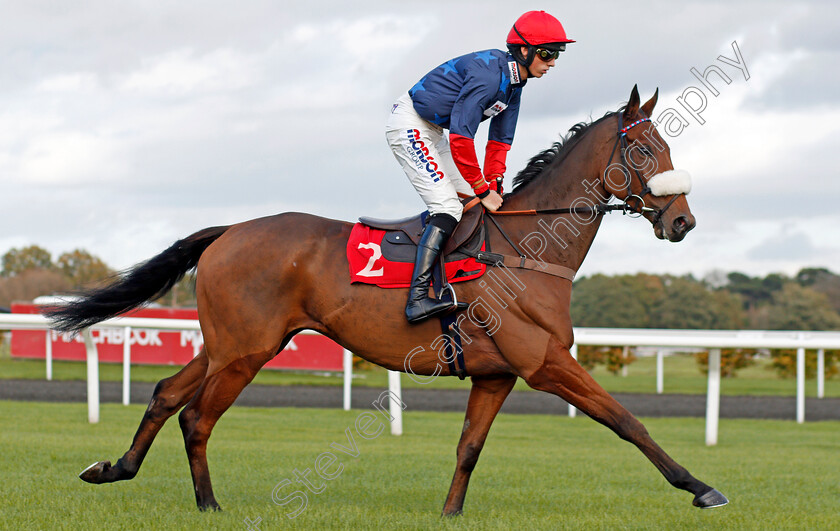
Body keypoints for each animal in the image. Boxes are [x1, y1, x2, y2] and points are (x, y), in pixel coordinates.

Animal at [46, 86, 728, 516]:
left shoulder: (498, 374)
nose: (682, 221)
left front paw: (450, 514)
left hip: (227, 345)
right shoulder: (544, 362)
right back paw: (209, 504)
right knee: (196, 418)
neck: (526, 247)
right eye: (644, 151)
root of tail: (230, 230)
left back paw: (113, 468)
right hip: (246, 351)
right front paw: (700, 486)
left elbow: (469, 448)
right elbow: (626, 420)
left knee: (166, 394)